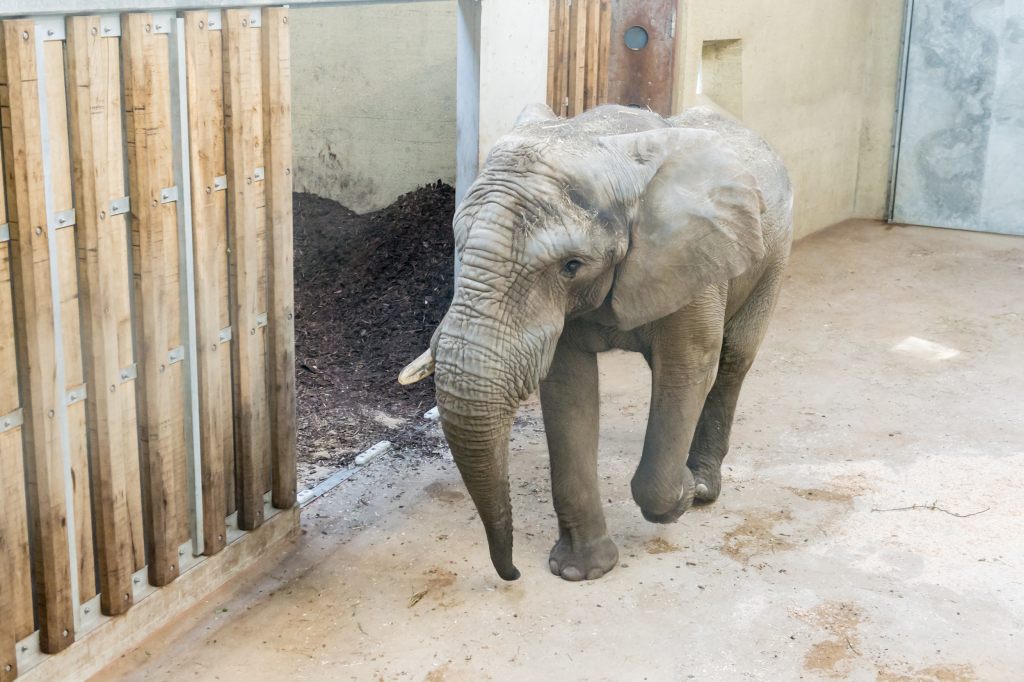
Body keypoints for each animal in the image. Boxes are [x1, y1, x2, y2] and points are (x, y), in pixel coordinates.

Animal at [399, 100, 790, 577]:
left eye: (571, 266)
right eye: (458, 242)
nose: (512, 572)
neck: (605, 141)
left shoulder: (696, 259)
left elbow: (688, 366)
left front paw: (682, 494)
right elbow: (569, 388)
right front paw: (580, 572)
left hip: (772, 254)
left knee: (733, 359)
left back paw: (702, 487)